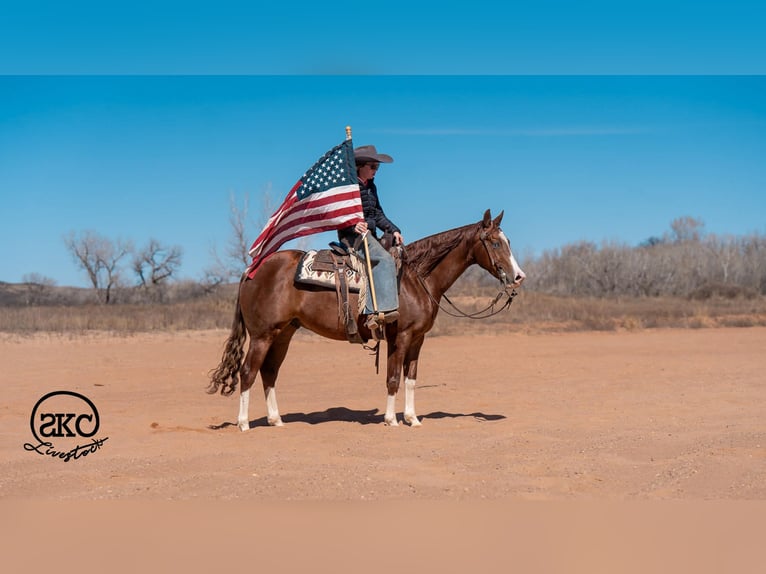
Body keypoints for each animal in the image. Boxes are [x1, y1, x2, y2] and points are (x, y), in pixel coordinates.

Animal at [207, 209, 526, 430]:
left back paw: (276, 420)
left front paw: (412, 419)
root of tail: (253, 269)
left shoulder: (418, 339)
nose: (519, 277)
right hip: (262, 334)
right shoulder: (401, 336)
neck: (414, 279)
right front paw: (391, 419)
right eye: (495, 243)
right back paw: (244, 423)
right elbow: (393, 377)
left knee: (269, 371)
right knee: (248, 371)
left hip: (284, 332)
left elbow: (411, 379)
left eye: (508, 241)